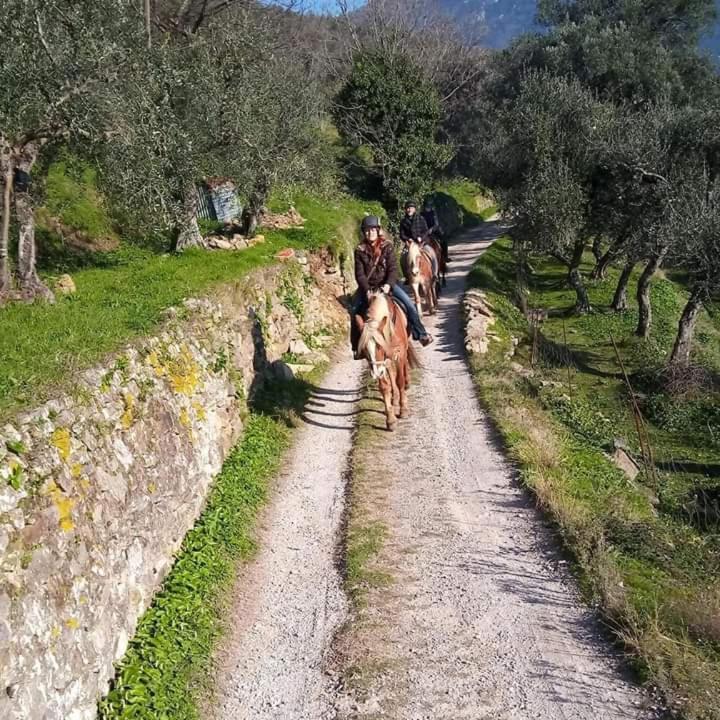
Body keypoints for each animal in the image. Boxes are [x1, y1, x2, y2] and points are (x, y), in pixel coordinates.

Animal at [356, 290, 420, 430]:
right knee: (391, 372)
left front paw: (403, 409)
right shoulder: (379, 364)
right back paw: (394, 397)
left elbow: (399, 380)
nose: (376, 373)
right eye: (364, 349)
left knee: (404, 366)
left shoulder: (399, 354)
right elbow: (385, 387)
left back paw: (406, 383)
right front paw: (390, 420)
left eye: (379, 346)